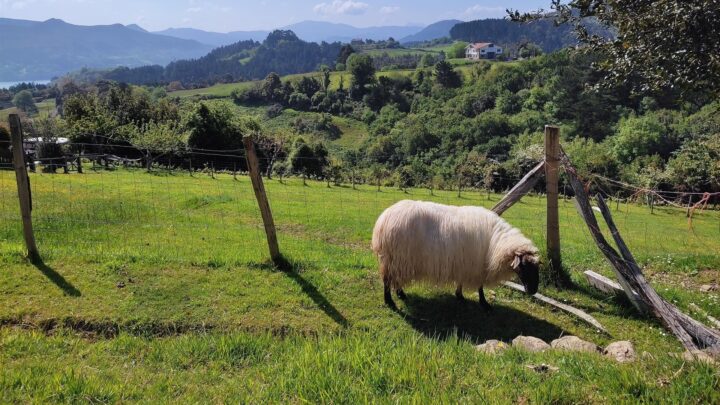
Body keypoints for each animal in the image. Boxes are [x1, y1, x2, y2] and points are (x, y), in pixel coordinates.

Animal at [374, 199, 536, 310]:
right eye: (523, 266)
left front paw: (459, 295)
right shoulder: (477, 265)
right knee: (387, 280)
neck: (495, 240)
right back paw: (390, 301)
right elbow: (480, 287)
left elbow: (462, 281)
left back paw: (401, 294)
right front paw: (484, 303)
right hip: (397, 258)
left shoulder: (465, 263)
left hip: (398, 260)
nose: (533, 290)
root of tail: (384, 219)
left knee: (395, 279)